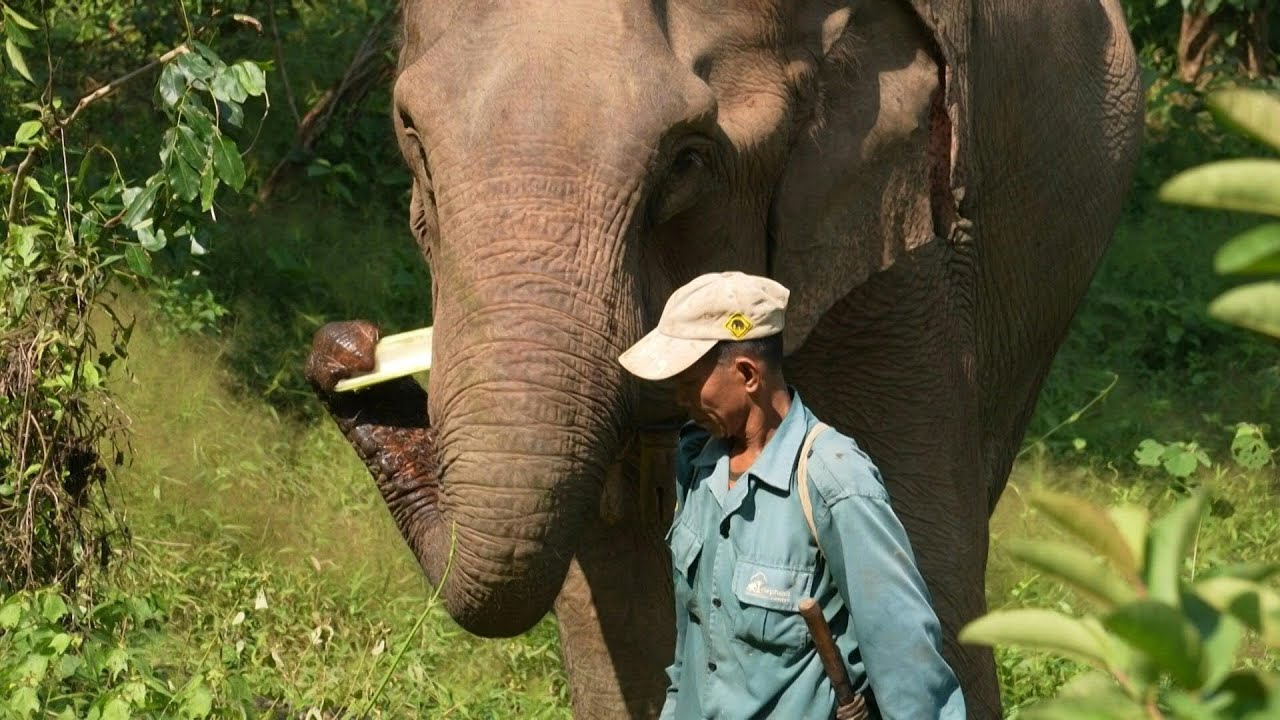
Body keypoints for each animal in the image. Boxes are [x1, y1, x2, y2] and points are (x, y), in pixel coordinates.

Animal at [303, 0, 1143, 717]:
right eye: (412, 134)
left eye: (684, 162)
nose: (345, 348)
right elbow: (605, 578)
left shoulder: (896, 248)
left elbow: (924, 565)